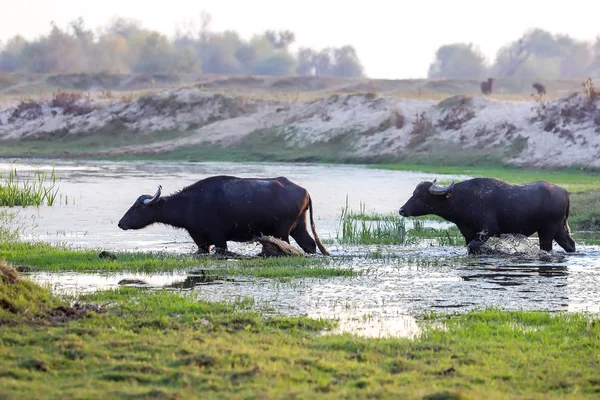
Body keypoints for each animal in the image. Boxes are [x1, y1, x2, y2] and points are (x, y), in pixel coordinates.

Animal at [118, 175, 328, 256]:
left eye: (137, 207)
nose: (121, 223)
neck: (190, 204)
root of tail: (305, 191)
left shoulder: (219, 238)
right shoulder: (201, 241)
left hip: (282, 232)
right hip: (299, 227)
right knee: (309, 245)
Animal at [398, 177, 576, 253]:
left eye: (421, 196)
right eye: (413, 193)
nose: (402, 210)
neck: (462, 199)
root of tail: (564, 192)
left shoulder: (487, 231)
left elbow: (474, 246)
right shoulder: (468, 234)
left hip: (547, 229)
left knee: (547, 247)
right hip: (557, 228)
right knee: (570, 244)